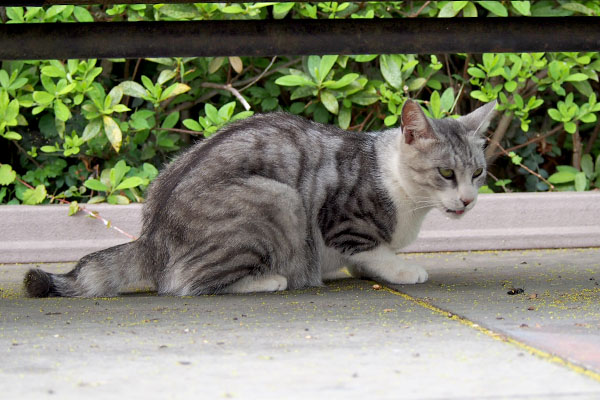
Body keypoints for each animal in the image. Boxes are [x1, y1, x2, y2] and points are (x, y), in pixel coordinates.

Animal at [23, 99, 494, 296]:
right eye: (446, 173)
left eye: (477, 173)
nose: (468, 201)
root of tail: (151, 237)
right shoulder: (341, 221)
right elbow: (372, 250)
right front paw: (402, 269)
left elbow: (366, 259)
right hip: (279, 199)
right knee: (187, 284)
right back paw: (270, 280)